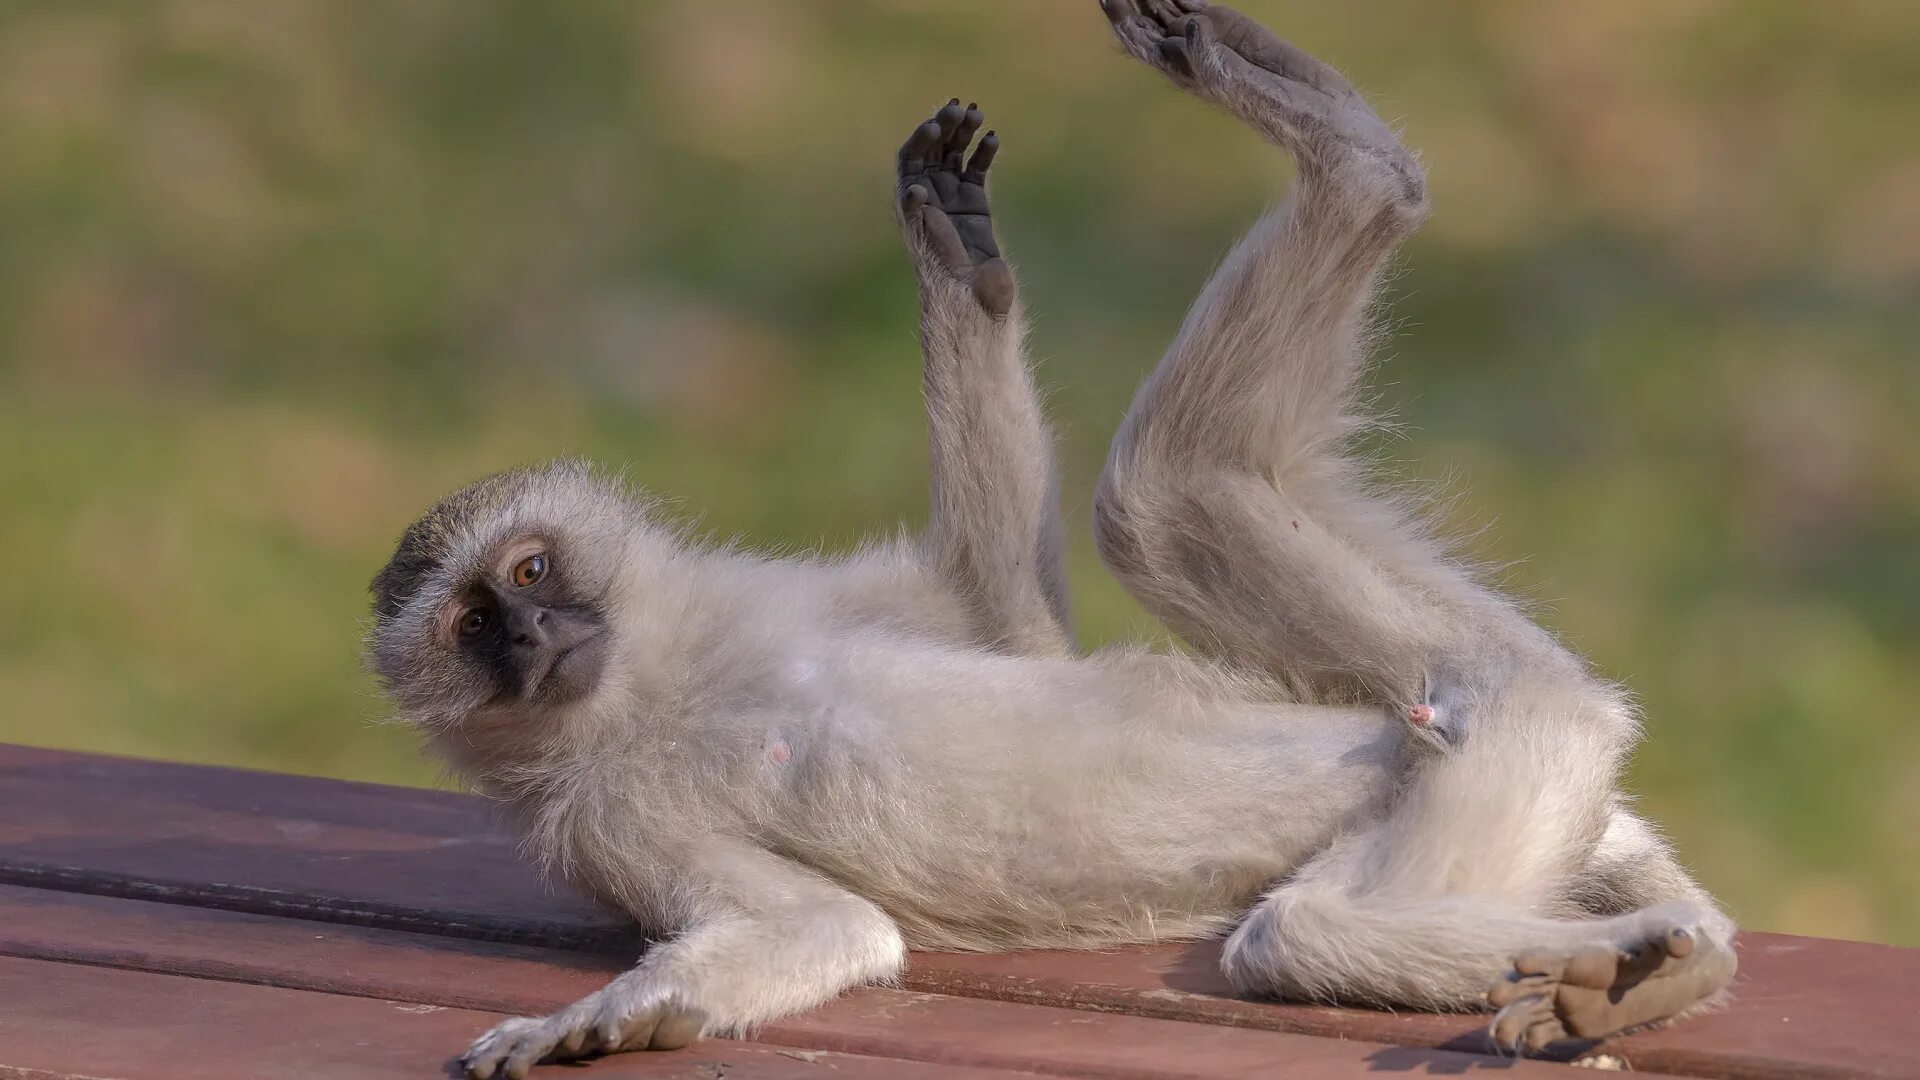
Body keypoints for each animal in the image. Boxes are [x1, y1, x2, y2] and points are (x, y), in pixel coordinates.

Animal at [366, 6, 1738, 1078]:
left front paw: (955, 253)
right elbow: (831, 933)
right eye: (473, 627)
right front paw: (608, 1021)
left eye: (530, 571)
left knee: (1158, 516)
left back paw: (1337, 149)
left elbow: (1008, 623)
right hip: (1503, 747)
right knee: (1189, 570)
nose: (535, 636)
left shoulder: (772, 602)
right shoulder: (608, 824)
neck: (658, 681)